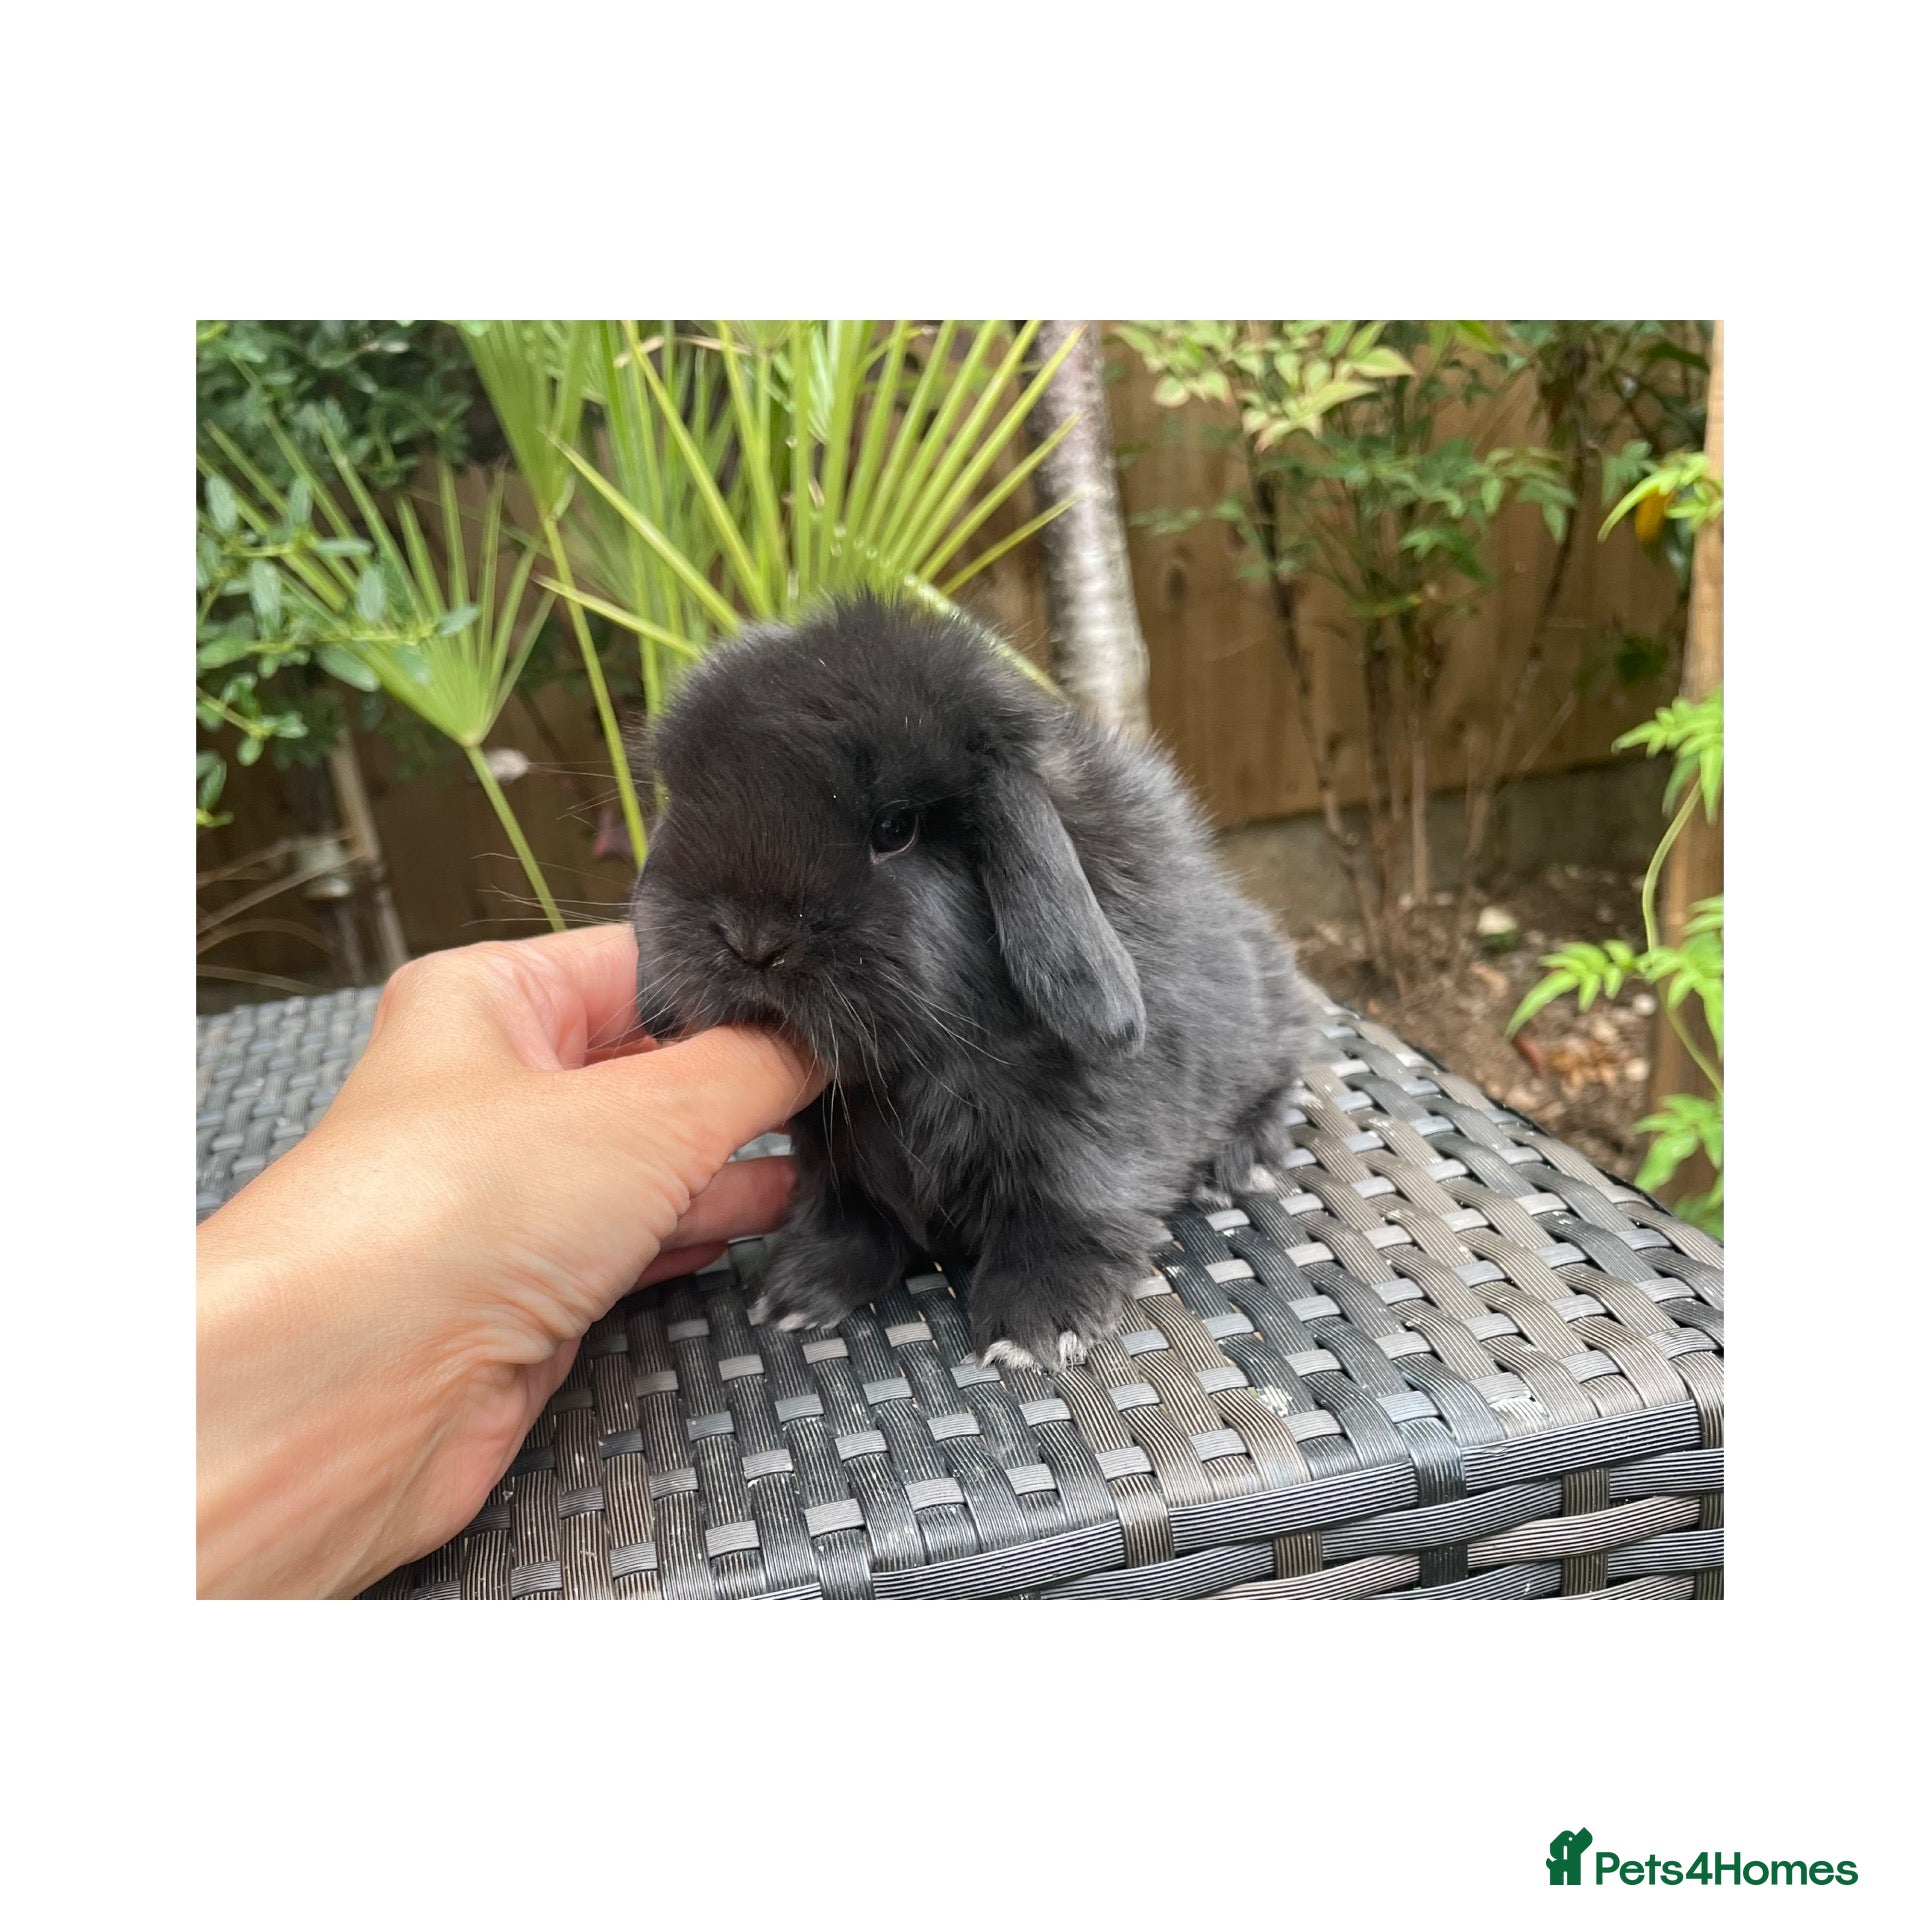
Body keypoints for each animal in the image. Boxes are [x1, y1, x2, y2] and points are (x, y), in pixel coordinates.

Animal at [628, 593, 1309, 1368]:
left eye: (895, 829)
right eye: (690, 802)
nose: (752, 942)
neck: (916, 1067)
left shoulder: (1088, 1123)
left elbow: (1070, 1198)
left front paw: (1036, 1326)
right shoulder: (831, 1152)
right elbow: (844, 1213)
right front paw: (798, 1294)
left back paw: (1239, 1166)